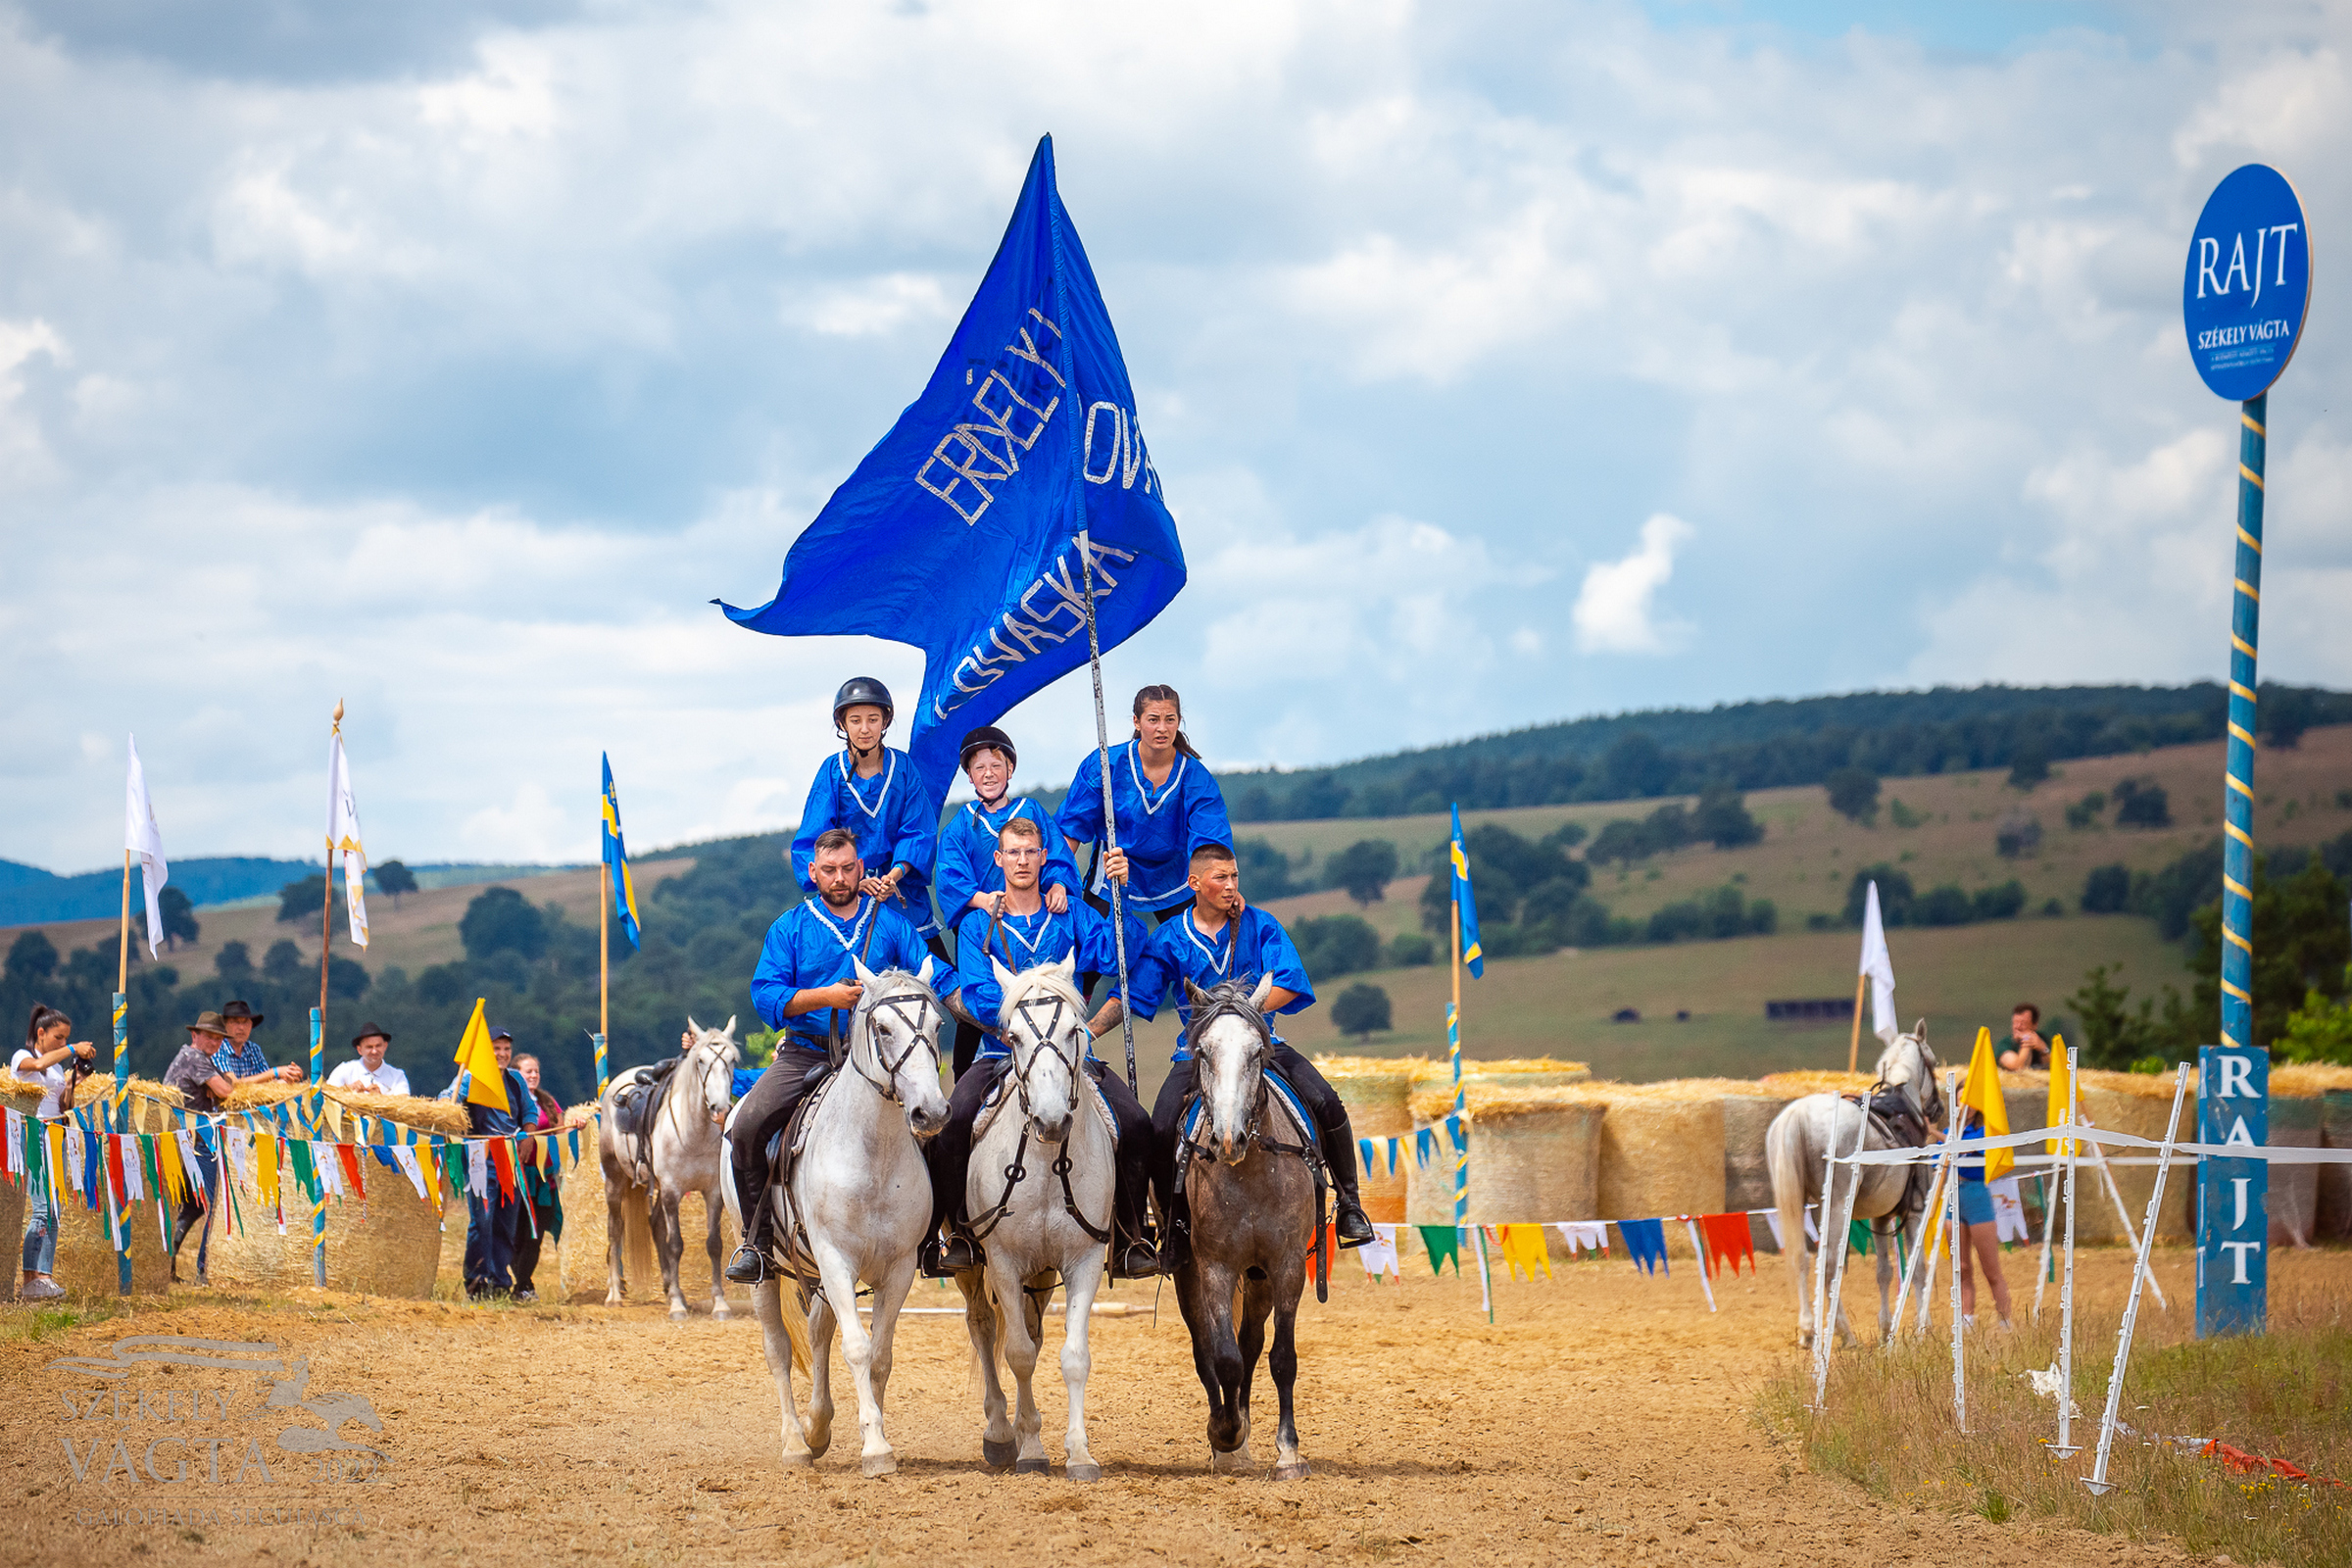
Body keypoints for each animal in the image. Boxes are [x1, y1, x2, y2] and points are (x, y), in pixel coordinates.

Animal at [592, 1020, 738, 1325]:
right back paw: (615, 1294)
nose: (720, 1109)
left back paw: (670, 1287)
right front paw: (677, 1306)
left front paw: (719, 1303)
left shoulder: (712, 1193)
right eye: (700, 1061)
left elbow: (714, 1244)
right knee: (615, 1229)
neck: (694, 1134)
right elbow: (675, 1244)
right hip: (614, 1180)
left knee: (655, 1223)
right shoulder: (672, 1191)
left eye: (732, 1060)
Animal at [738, 958, 950, 1486]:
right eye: (883, 1027)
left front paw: (873, 1433)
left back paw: (818, 1428)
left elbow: (880, 1355)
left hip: (817, 1273)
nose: (931, 1112)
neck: (872, 1154)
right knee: (777, 1348)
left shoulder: (897, 1269)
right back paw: (796, 1442)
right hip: (766, 1271)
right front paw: (875, 1447)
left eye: (939, 1025)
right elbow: (856, 1347)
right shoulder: (836, 1259)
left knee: (816, 1333)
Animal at [950, 958, 1114, 1486]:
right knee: (983, 1327)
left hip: (1040, 1275)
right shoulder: (1002, 1262)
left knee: (1032, 1331)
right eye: (1014, 1036)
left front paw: (1078, 1454)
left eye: (1073, 1031)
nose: (1050, 1120)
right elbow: (1018, 1354)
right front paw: (1029, 1450)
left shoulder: (1083, 1260)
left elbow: (1072, 1357)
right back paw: (1002, 1433)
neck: (1044, 1163)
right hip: (972, 1267)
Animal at [1176, 973, 1326, 1476]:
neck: (1251, 1172)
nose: (1228, 1138)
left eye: (1258, 1052)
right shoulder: (1215, 1268)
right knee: (1208, 1347)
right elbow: (1224, 1358)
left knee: (1253, 1343)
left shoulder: (1287, 1266)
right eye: (1204, 1052)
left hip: (1260, 1277)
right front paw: (1226, 1434)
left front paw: (1289, 1453)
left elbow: (1281, 1358)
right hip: (1192, 1276)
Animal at [1768, 1029, 1947, 1353]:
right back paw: (1843, 1333)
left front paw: (1886, 1328)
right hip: (1838, 1206)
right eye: (1933, 1060)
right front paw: (1922, 1327)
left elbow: (1884, 1271)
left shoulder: (1880, 1217)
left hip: (1798, 1204)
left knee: (1802, 1258)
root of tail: (1798, 1115)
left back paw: (1808, 1330)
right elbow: (1918, 1269)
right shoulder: (1914, 1211)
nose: (1937, 1107)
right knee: (1828, 1265)